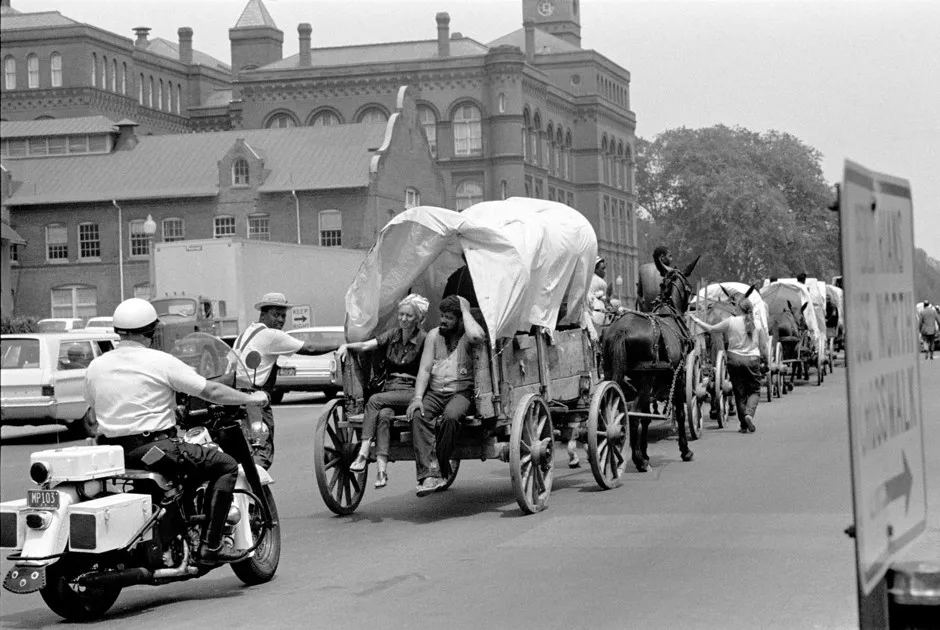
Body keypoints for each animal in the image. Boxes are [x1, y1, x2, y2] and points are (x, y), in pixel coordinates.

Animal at [601, 255, 701, 472]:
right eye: (689, 288)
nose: (690, 304)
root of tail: (621, 330)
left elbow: (647, 417)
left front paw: (645, 451)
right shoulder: (678, 375)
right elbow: (680, 412)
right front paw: (685, 450)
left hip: (615, 375)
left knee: (619, 410)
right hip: (645, 378)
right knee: (635, 414)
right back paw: (638, 460)